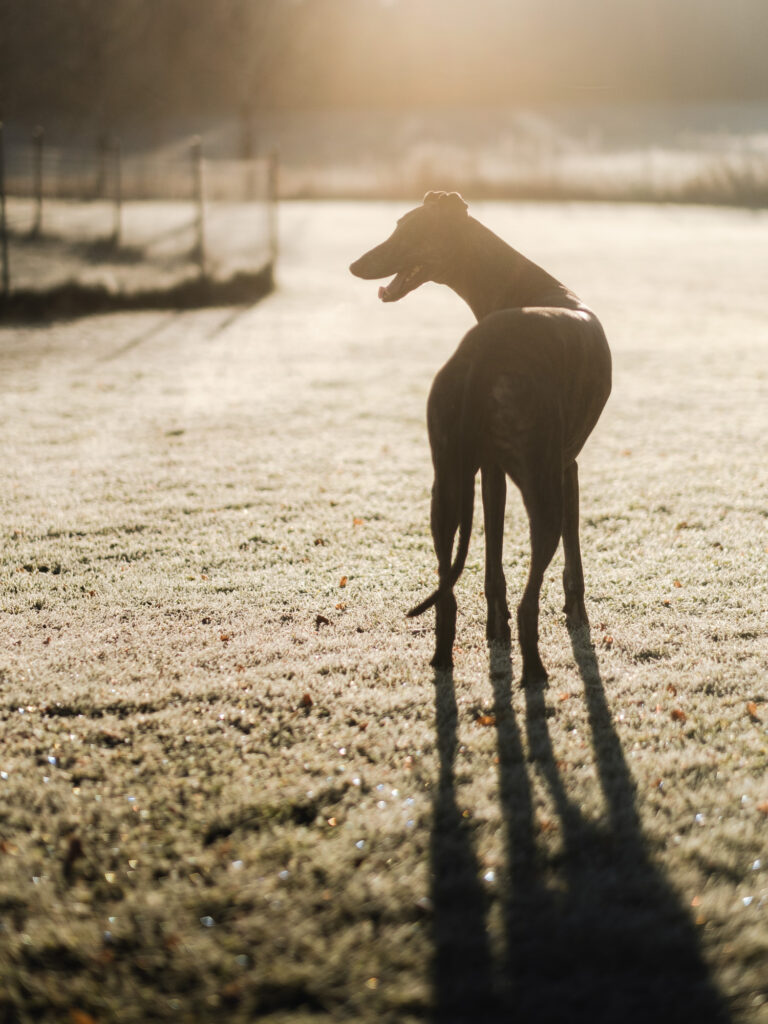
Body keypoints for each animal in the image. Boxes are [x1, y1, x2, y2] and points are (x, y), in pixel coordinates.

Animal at [350, 194, 614, 684]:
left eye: (407, 229)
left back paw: (443, 656)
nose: (355, 265)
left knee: (445, 587)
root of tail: (481, 354)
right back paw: (534, 670)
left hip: (446, 485)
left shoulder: (491, 473)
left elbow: (493, 558)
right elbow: (572, 554)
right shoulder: (565, 467)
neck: (521, 285)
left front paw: (495, 629)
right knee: (531, 596)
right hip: (540, 490)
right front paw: (575, 615)